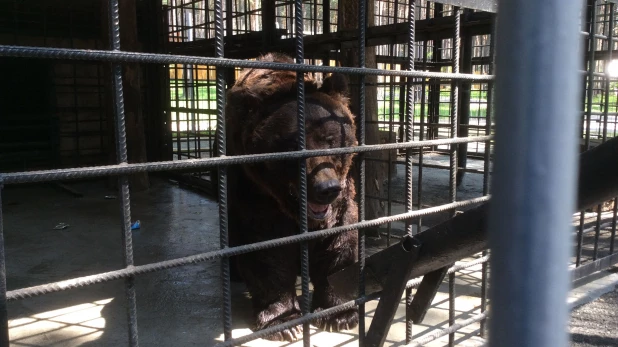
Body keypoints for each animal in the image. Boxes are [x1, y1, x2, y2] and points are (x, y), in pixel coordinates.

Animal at [218, 53, 358, 342]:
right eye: (293, 145)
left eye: (331, 139)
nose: (326, 188)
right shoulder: (254, 190)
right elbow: (266, 249)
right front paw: (284, 322)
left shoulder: (343, 195)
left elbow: (340, 239)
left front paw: (339, 314)